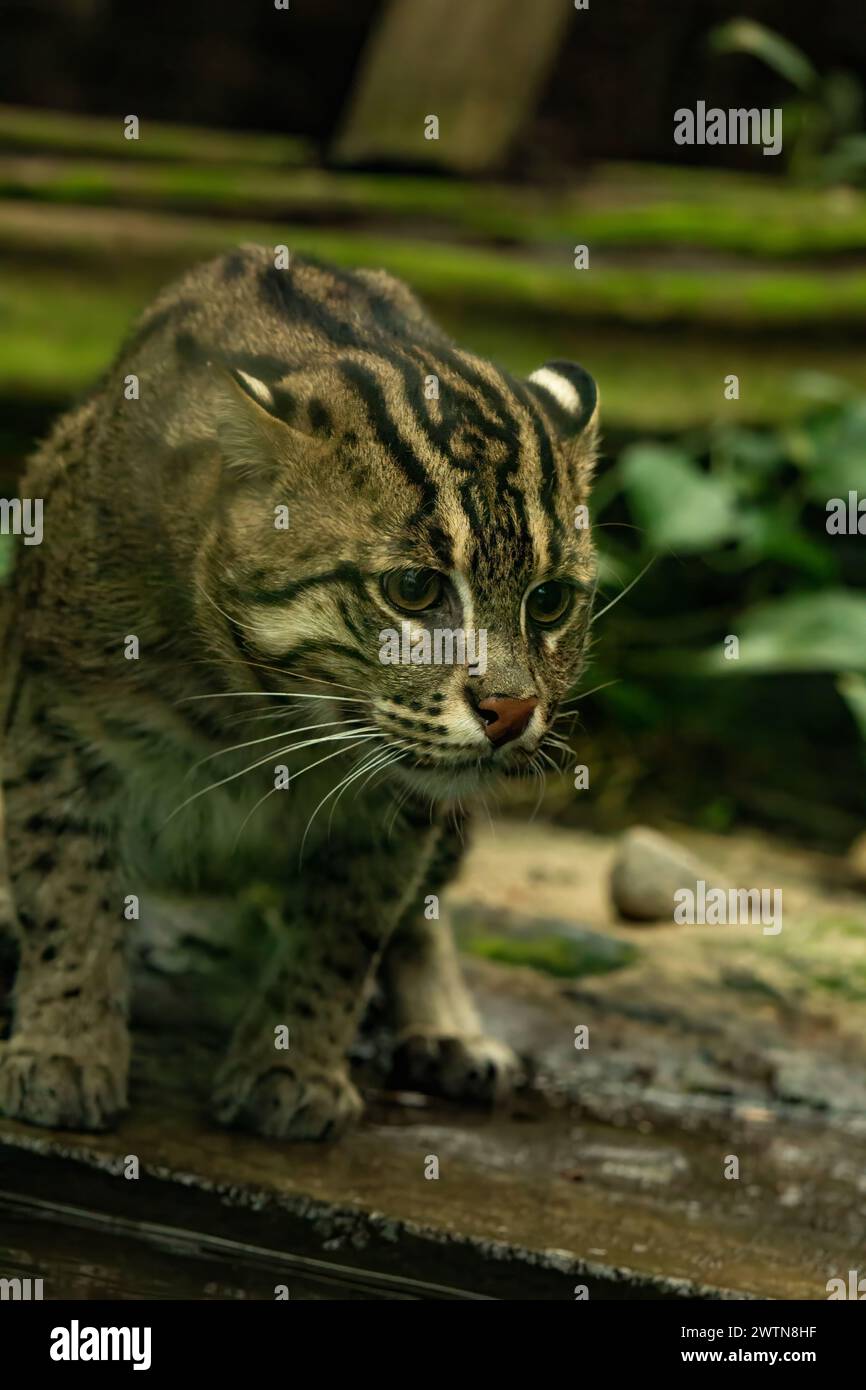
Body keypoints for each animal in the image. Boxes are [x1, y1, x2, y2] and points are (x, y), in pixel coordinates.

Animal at [0, 247, 594, 1139]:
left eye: (551, 601)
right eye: (413, 590)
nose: (513, 711)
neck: (259, 714)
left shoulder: (400, 809)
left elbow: (344, 937)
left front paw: (290, 1064)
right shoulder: (56, 725)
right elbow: (67, 894)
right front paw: (65, 1044)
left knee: (424, 917)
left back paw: (449, 1030)